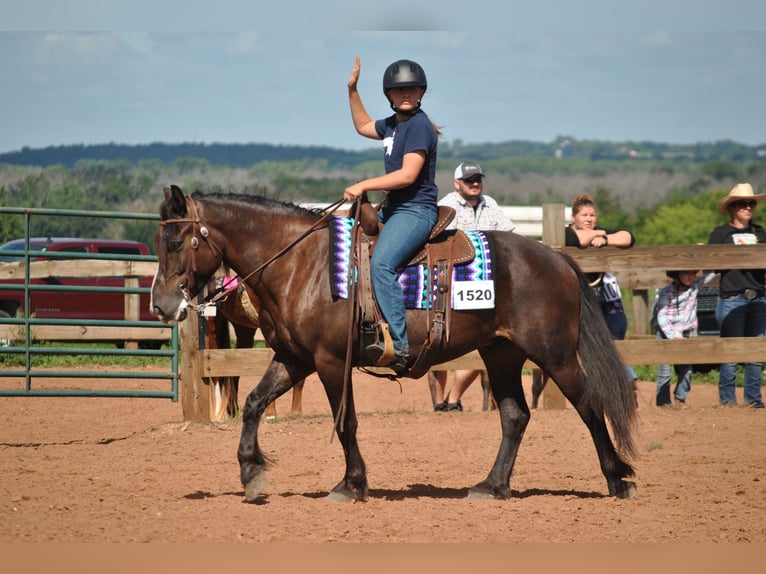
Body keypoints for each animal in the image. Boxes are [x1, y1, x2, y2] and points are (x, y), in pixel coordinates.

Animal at [150, 185, 638, 502]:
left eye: (175, 240)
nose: (161, 304)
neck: (301, 263)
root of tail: (556, 257)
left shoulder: (330, 361)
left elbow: (345, 423)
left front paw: (351, 484)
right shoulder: (293, 359)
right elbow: (253, 404)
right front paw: (251, 472)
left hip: (555, 355)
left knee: (590, 406)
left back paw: (618, 479)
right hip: (501, 354)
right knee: (515, 416)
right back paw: (492, 486)